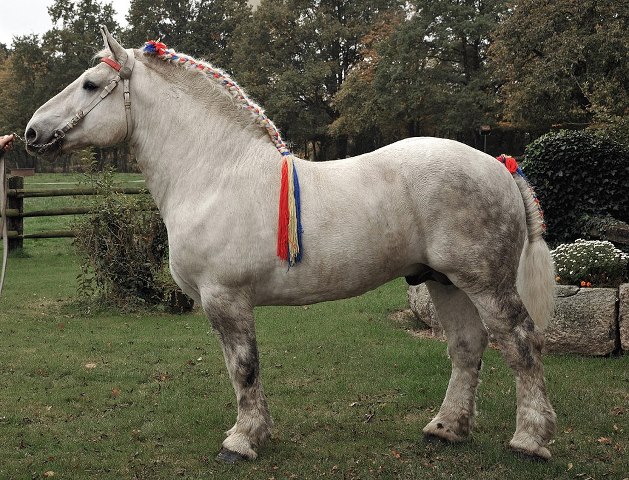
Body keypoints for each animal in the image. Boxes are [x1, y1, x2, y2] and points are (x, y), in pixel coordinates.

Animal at [24, 25, 556, 462]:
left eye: (91, 85)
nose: (31, 132)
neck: (215, 173)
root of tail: (499, 166)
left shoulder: (226, 299)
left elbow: (243, 368)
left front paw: (242, 441)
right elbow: (240, 369)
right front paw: (256, 433)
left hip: (484, 283)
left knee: (521, 344)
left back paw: (530, 439)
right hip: (444, 281)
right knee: (467, 347)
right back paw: (447, 429)